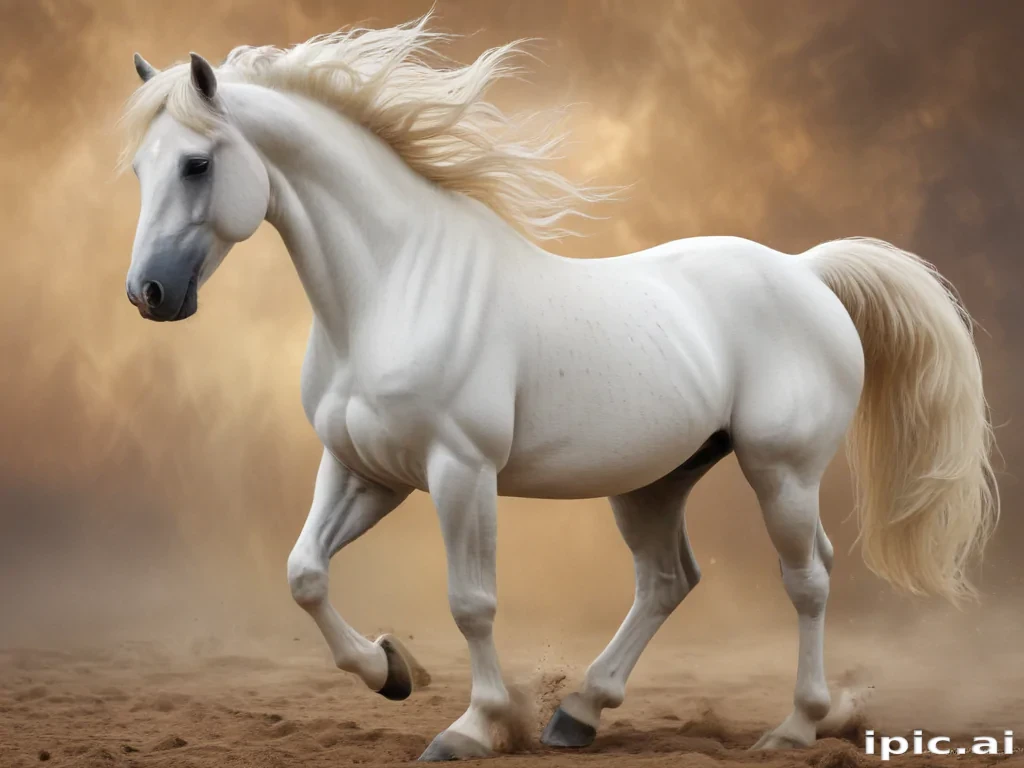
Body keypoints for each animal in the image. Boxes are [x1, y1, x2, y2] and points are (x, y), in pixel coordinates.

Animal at [120, 15, 998, 762]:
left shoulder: (459, 471)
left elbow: (471, 600)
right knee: (668, 580)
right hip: (654, 482)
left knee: (807, 577)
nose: (149, 294)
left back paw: (792, 727)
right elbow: (304, 573)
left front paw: (472, 727)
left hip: (781, 471)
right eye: (139, 167)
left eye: (197, 163)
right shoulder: (364, 468)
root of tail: (806, 271)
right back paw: (578, 712)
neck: (394, 288)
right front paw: (391, 670)